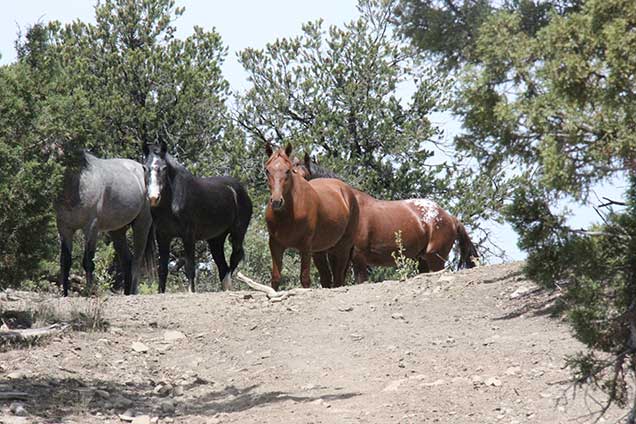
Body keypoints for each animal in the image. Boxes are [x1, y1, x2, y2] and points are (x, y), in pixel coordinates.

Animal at [55, 152, 153, 294]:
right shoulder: (64, 229)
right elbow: (66, 261)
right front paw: (65, 294)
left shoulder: (91, 228)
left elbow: (88, 261)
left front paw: (88, 292)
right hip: (117, 231)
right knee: (127, 261)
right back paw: (126, 293)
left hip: (142, 225)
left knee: (137, 261)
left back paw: (133, 292)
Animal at [143, 142, 252, 292]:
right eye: (144, 167)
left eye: (164, 168)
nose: (154, 198)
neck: (173, 201)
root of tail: (241, 191)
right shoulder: (163, 236)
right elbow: (163, 269)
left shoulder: (188, 235)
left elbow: (190, 268)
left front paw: (191, 291)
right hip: (216, 239)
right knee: (222, 266)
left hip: (237, 233)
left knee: (234, 258)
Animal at [264, 144, 360, 290]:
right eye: (267, 170)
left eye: (287, 171)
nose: (276, 201)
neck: (289, 214)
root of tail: (347, 192)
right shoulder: (275, 245)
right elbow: (275, 279)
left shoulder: (305, 247)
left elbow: (305, 279)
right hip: (322, 250)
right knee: (327, 278)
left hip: (343, 248)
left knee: (338, 278)